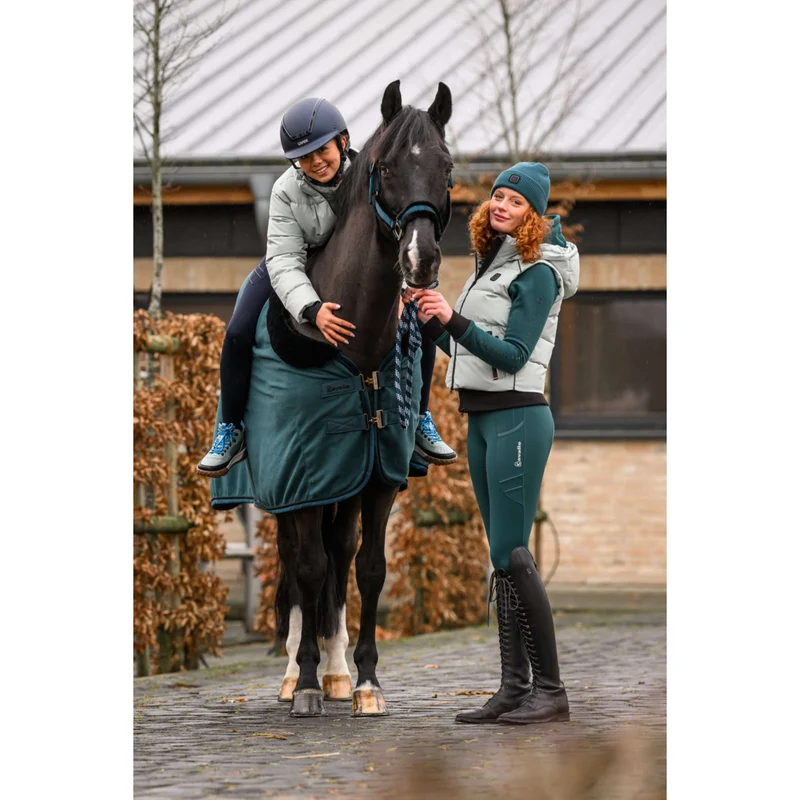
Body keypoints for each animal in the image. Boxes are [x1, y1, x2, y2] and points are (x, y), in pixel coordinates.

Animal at [270, 79, 453, 718]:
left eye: (447, 167)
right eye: (387, 167)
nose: (420, 260)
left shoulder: (378, 481)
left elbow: (368, 570)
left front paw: (366, 682)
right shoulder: (300, 481)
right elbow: (307, 568)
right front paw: (303, 684)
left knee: (338, 557)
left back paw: (336, 670)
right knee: (299, 563)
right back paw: (297, 675)